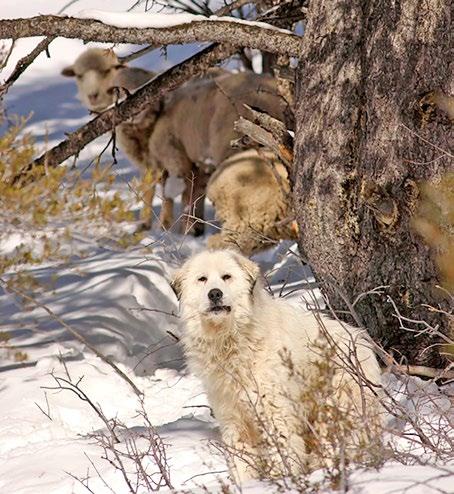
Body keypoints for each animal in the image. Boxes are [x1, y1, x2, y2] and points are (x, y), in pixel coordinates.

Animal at [62, 49, 290, 234]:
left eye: (108, 70)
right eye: (79, 76)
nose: (92, 96)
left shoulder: (173, 156)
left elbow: (171, 193)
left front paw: (168, 227)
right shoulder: (186, 161)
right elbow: (178, 191)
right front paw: (188, 227)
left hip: (229, 147)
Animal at [172, 249, 382, 480]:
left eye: (226, 277)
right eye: (202, 279)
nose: (215, 294)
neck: (233, 338)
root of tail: (361, 339)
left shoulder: (275, 410)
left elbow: (283, 451)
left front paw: (283, 480)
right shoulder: (233, 417)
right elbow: (241, 460)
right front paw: (249, 484)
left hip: (335, 408)